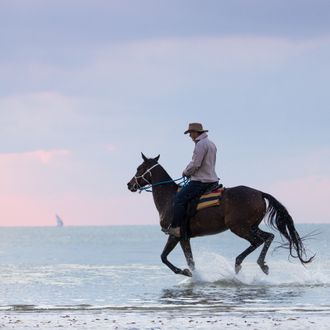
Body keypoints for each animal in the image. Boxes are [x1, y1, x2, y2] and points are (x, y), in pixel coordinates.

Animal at [125, 154, 312, 276]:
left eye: (139, 168)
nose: (129, 185)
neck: (170, 198)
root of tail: (259, 193)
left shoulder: (176, 235)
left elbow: (165, 257)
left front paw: (185, 273)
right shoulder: (184, 237)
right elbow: (187, 260)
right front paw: (191, 274)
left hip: (239, 227)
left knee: (257, 241)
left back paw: (239, 263)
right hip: (251, 226)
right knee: (268, 237)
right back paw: (261, 265)